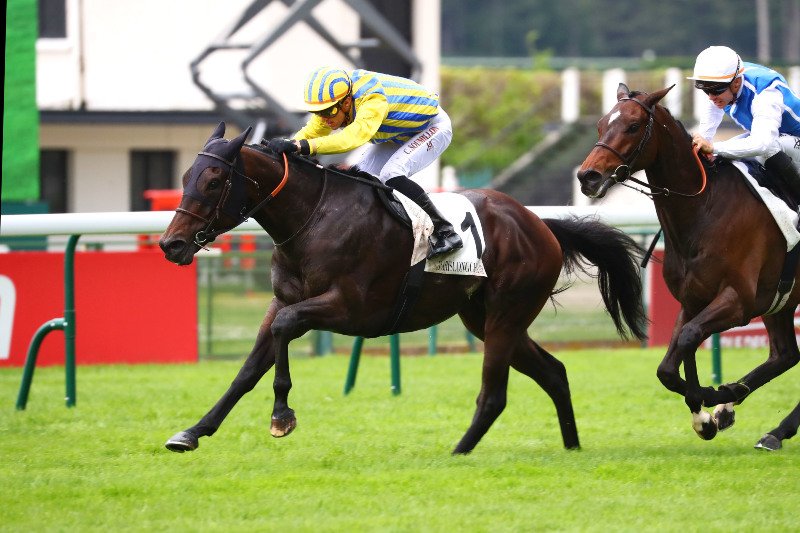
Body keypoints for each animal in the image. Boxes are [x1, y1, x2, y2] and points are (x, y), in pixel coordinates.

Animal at [159, 121, 647, 455]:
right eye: (184, 178)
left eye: (214, 181)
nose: (171, 244)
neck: (313, 216)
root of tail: (540, 224)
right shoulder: (282, 301)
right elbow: (247, 369)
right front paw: (193, 432)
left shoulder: (349, 308)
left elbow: (284, 330)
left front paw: (281, 415)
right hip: (485, 317)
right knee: (554, 372)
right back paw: (571, 445)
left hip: (507, 315)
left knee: (494, 393)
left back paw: (459, 451)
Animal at [577, 83, 800, 450]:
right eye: (599, 125)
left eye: (633, 126)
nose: (587, 176)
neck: (704, 209)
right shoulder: (693, 298)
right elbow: (671, 362)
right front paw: (708, 414)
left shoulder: (738, 300)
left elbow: (690, 337)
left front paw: (713, 394)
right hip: (780, 302)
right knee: (785, 354)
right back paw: (767, 427)